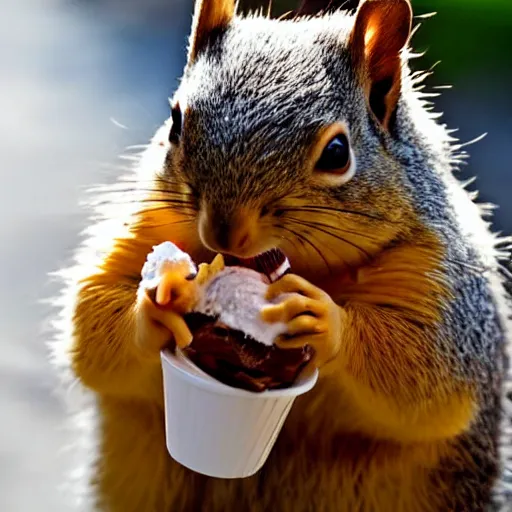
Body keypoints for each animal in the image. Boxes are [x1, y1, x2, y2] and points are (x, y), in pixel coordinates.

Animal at [51, 0, 512, 510]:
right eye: (175, 121)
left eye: (337, 152)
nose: (223, 232)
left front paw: (327, 321)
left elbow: (433, 372)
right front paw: (154, 309)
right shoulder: (142, 227)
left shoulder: (442, 281)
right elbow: (91, 320)